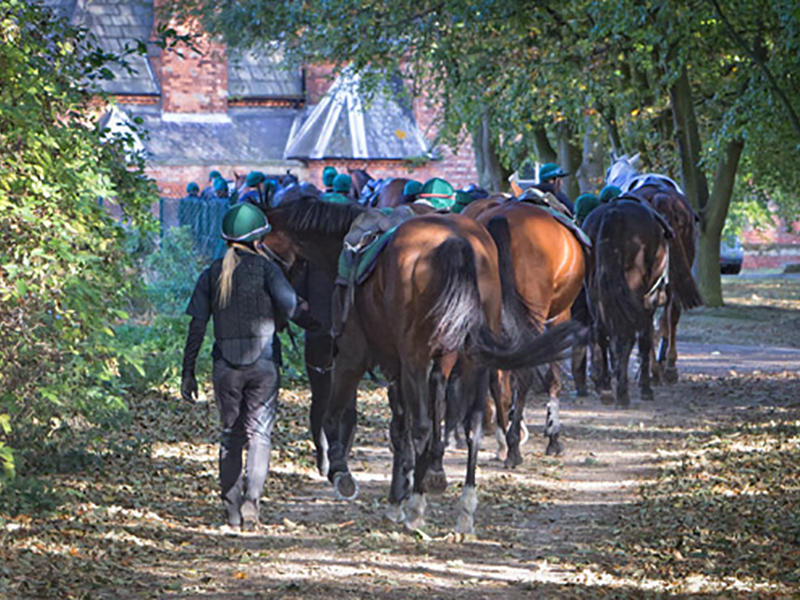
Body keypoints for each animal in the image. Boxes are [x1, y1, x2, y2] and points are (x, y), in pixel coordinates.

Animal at [466, 199, 586, 465]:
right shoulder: (558, 317)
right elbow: (552, 377)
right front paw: (553, 438)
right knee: (524, 374)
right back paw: (513, 448)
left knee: (497, 377)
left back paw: (503, 442)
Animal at [581, 200, 671, 406]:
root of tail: (614, 212)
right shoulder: (646, 302)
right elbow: (644, 339)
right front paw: (645, 387)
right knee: (628, 335)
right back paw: (622, 392)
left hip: (595, 291)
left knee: (600, 332)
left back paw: (606, 387)